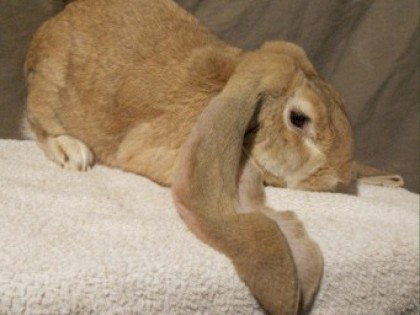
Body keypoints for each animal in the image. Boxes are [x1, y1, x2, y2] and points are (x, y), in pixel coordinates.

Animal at [23, 0, 358, 314]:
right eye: (298, 119)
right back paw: (73, 152)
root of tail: (42, 36)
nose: (344, 176)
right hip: (50, 96)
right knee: (37, 124)